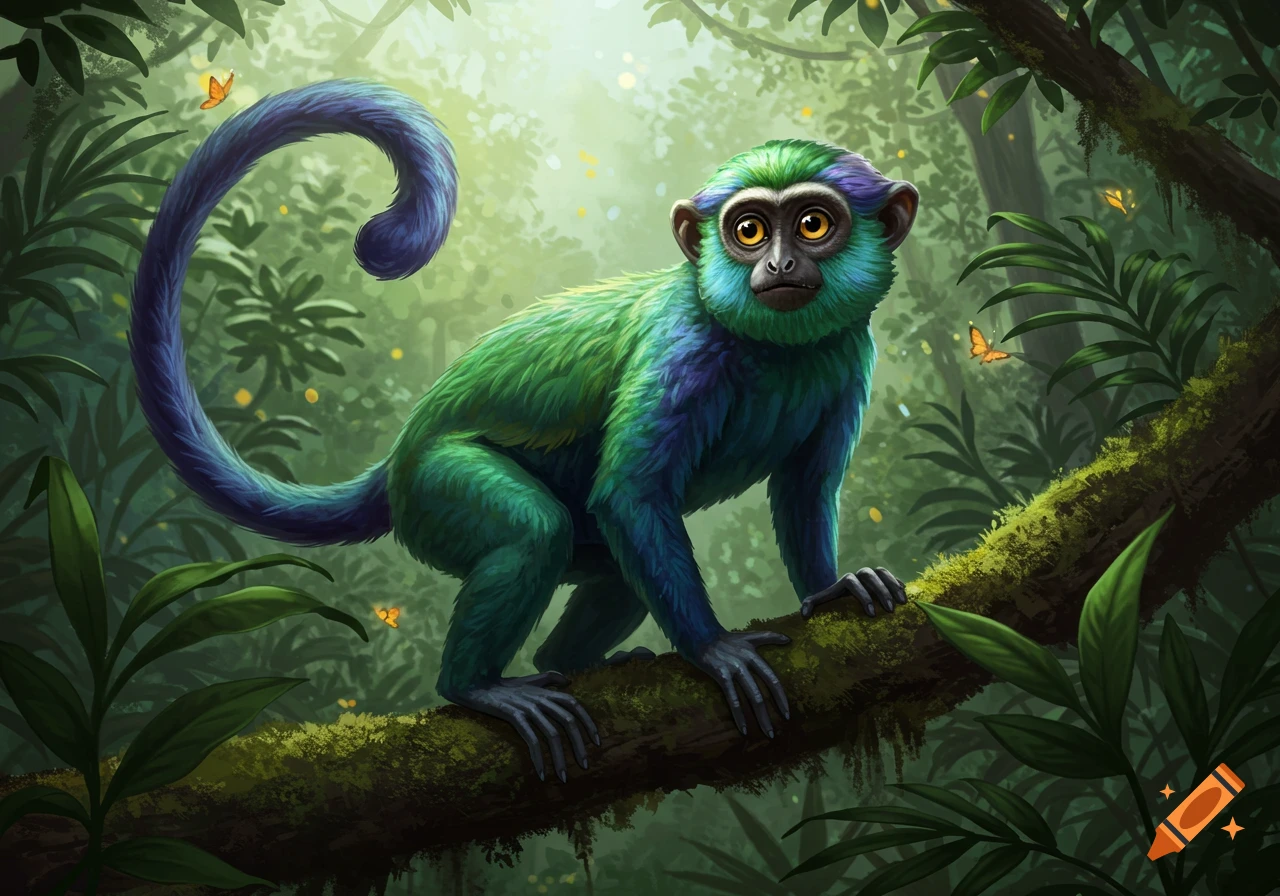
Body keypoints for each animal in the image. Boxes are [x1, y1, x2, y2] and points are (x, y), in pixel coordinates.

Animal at [129, 80, 916, 783]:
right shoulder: (682, 348)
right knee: (536, 531)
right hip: (435, 489)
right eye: (749, 230)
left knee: (615, 571)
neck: (773, 349)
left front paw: (830, 588)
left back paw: (562, 664)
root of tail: (402, 450)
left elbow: (806, 484)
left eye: (812, 224)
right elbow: (632, 492)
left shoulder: (852, 354)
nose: (779, 263)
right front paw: (715, 649)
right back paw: (476, 687)